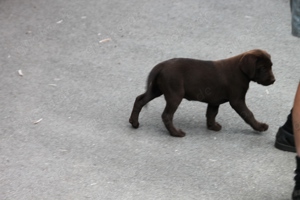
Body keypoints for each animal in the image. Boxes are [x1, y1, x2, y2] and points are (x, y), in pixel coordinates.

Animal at [127, 49, 276, 138]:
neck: (241, 71)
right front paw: (260, 127)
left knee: (140, 99)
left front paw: (212, 126)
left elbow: (211, 114)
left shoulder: (214, 101)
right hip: (175, 94)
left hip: (156, 89)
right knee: (166, 115)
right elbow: (248, 114)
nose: (273, 80)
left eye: (271, 66)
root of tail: (161, 65)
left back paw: (134, 122)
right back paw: (176, 133)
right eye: (263, 68)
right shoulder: (237, 100)